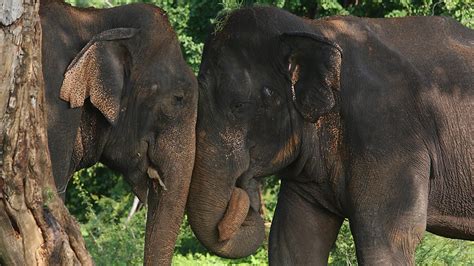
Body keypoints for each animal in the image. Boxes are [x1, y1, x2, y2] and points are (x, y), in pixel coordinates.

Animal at [186, 6, 474, 266]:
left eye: (239, 106)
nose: (246, 195)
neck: (311, 29)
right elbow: (293, 239)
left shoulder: (389, 138)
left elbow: (385, 242)